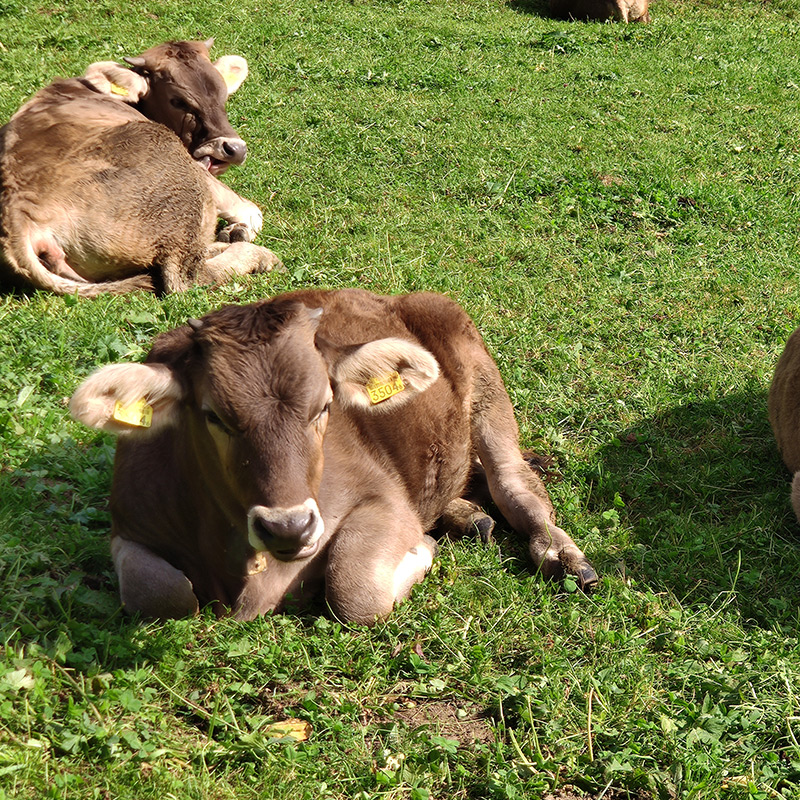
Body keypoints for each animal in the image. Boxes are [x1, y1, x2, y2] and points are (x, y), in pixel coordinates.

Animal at [0, 39, 280, 297]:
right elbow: (249, 210)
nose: (234, 148)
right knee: (186, 277)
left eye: (223, 94)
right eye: (178, 101)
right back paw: (258, 256)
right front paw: (240, 230)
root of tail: (18, 216)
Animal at [69, 289, 598, 624]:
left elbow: (355, 592)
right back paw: (466, 514)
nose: (289, 527)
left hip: (479, 374)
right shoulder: (127, 523)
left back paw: (561, 554)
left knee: (513, 483)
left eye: (324, 405)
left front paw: (421, 551)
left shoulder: (382, 499)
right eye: (213, 415)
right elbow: (160, 593)